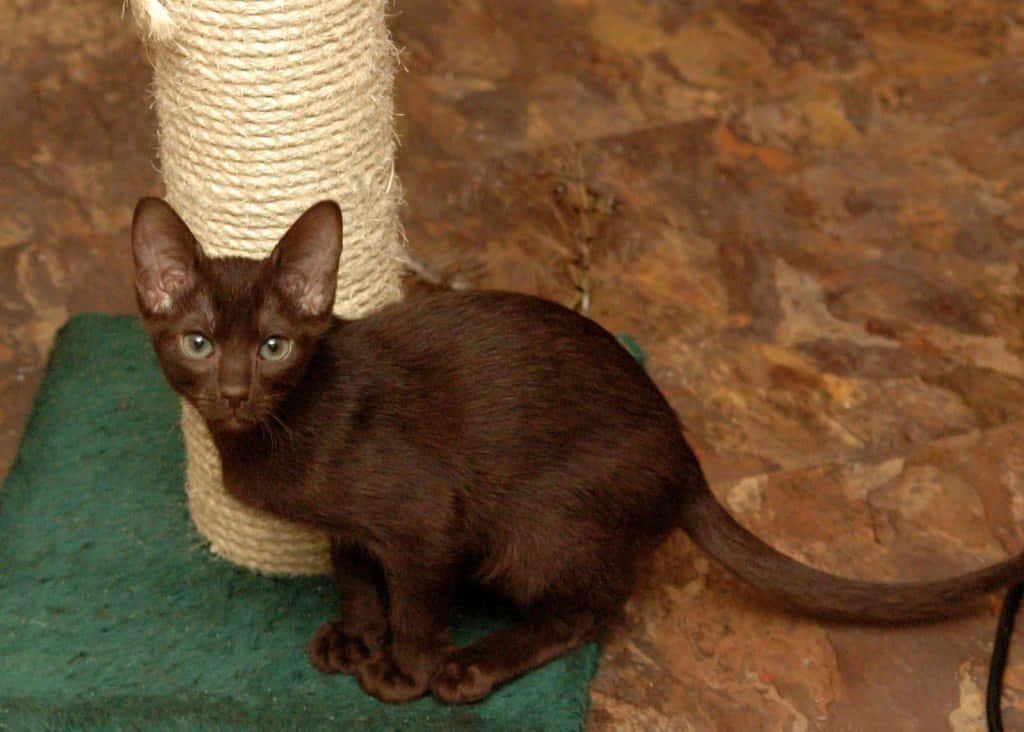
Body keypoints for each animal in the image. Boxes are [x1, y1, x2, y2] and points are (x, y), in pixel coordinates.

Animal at [132, 197, 1024, 708]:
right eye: (200, 342)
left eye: (275, 346)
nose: (235, 391)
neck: (285, 429)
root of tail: (687, 461)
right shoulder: (354, 528)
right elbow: (356, 578)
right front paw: (356, 637)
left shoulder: (427, 524)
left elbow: (417, 605)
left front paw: (404, 672)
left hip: (540, 528)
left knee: (597, 605)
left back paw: (476, 664)